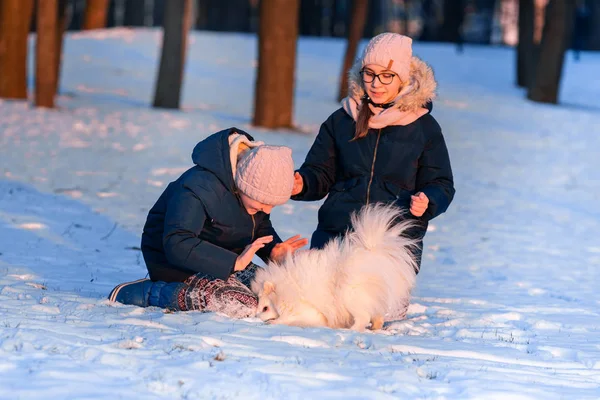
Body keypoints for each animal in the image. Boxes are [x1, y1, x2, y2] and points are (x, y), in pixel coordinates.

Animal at [251, 203, 420, 332]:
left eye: (265, 308)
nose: (256, 317)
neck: (288, 288)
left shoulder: (306, 309)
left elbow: (287, 318)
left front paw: (273, 322)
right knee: (377, 316)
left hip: (350, 295)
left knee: (363, 317)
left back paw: (351, 330)